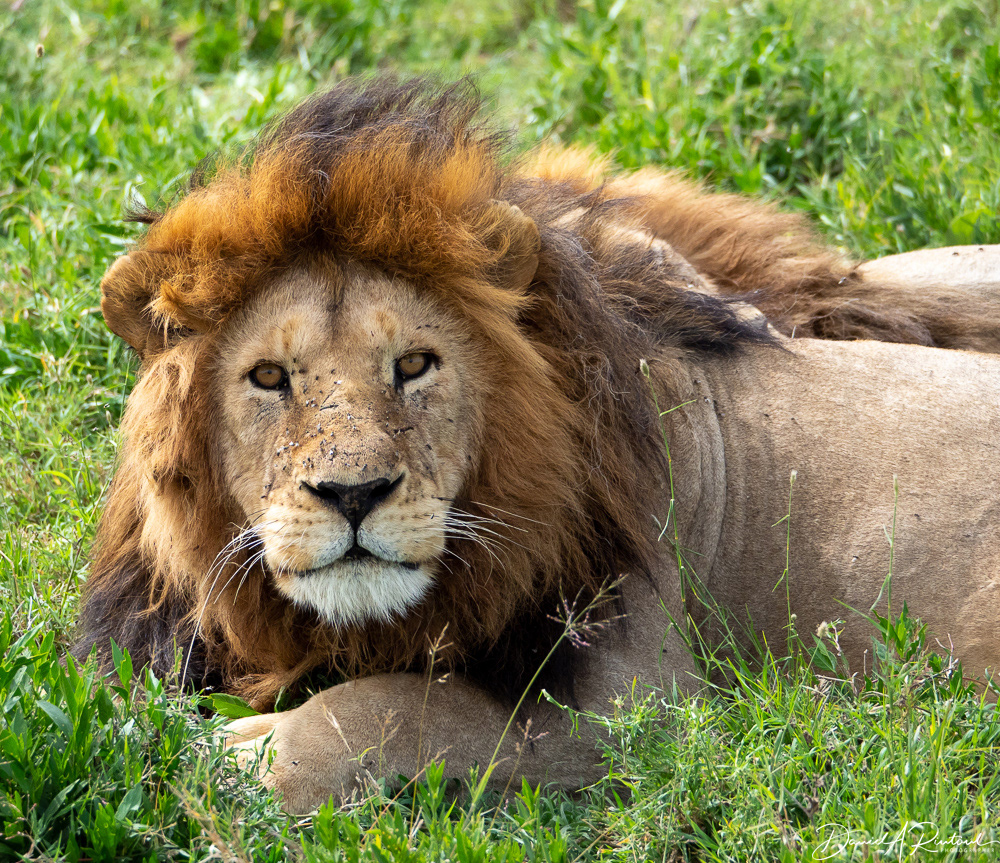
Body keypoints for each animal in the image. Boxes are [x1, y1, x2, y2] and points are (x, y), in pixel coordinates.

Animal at [76, 79, 1000, 813]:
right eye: (269, 377)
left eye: (414, 364)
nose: (354, 494)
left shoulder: (639, 699)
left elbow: (406, 704)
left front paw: (240, 756)